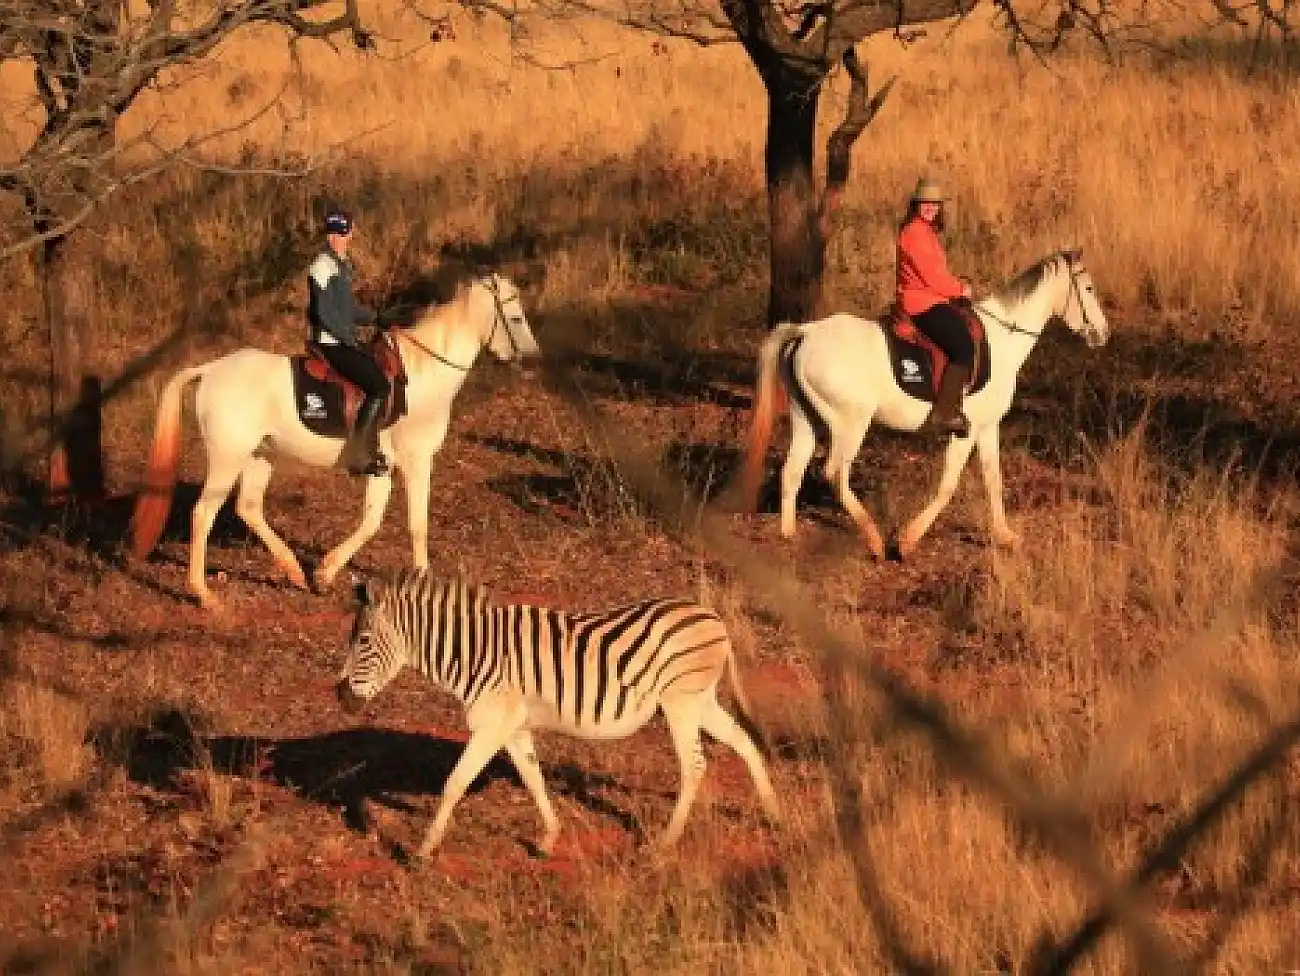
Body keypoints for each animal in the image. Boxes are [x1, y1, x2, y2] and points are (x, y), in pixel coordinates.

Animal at [127, 271, 541, 610]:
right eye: (515, 318)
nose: (533, 357)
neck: (423, 377)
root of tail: (212, 369)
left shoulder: (383, 467)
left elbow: (372, 521)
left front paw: (324, 573)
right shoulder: (417, 460)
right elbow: (416, 523)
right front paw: (422, 581)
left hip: (259, 455)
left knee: (248, 508)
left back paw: (294, 571)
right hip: (228, 458)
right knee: (203, 514)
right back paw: (204, 595)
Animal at [737, 248, 1110, 559]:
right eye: (1089, 288)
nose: (1103, 334)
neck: (1003, 338)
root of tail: (805, 332)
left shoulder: (988, 427)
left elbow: (993, 479)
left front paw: (1005, 536)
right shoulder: (966, 431)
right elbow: (948, 486)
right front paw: (907, 541)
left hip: (806, 419)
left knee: (792, 471)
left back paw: (789, 535)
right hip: (850, 424)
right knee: (835, 473)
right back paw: (874, 541)